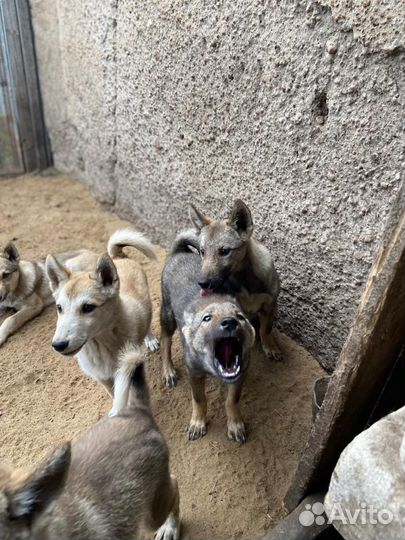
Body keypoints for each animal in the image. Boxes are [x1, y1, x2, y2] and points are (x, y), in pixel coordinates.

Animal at [44, 228, 158, 414]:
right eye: (59, 308)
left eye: (88, 307)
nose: (58, 345)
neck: (98, 347)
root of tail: (118, 257)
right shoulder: (102, 378)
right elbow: (115, 396)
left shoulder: (127, 371)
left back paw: (151, 339)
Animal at [159, 230, 254, 440]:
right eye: (207, 318)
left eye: (240, 317)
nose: (230, 322)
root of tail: (180, 251)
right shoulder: (194, 372)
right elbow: (199, 399)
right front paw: (197, 423)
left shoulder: (241, 372)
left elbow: (232, 400)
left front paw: (235, 425)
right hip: (167, 314)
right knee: (165, 341)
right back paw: (168, 371)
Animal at [188, 200, 280, 360]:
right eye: (202, 251)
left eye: (225, 251)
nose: (202, 283)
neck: (245, 282)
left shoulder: (270, 304)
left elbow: (265, 330)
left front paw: (270, 346)